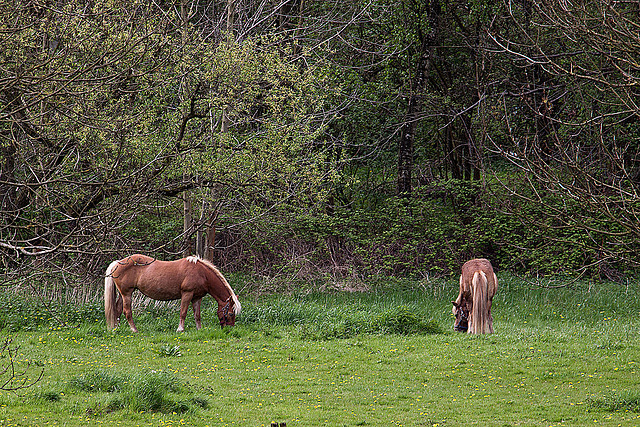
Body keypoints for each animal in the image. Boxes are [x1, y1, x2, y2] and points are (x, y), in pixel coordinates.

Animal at [105, 256, 240, 332]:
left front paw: (199, 329)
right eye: (230, 313)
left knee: (118, 310)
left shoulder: (197, 298)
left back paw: (116, 329)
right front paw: (180, 329)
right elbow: (183, 313)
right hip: (127, 294)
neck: (202, 273)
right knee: (127, 312)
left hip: (123, 294)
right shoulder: (187, 294)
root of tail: (118, 263)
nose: (230, 330)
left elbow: (197, 315)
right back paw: (134, 330)